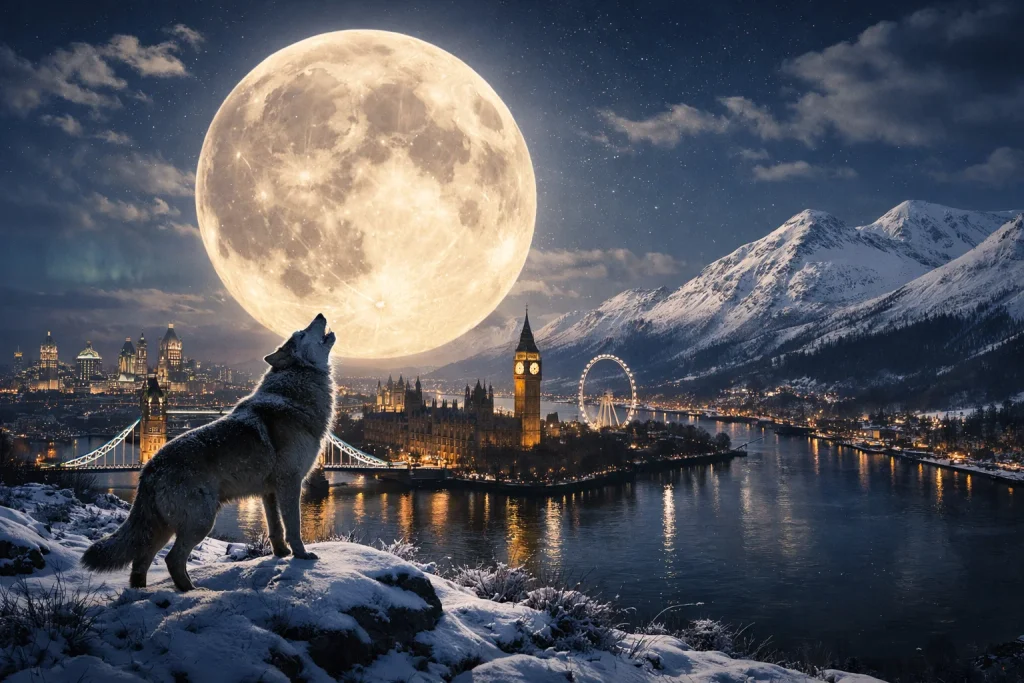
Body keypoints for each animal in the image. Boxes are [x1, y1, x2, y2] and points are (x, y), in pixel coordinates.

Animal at [82, 313, 337, 591]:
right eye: (302, 333)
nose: (321, 315)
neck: (295, 391)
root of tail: (149, 469)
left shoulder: (269, 490)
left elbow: (275, 528)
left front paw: (280, 554)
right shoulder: (290, 482)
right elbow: (294, 526)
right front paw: (301, 556)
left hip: (162, 527)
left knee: (140, 562)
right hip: (200, 520)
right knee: (172, 559)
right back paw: (192, 591)